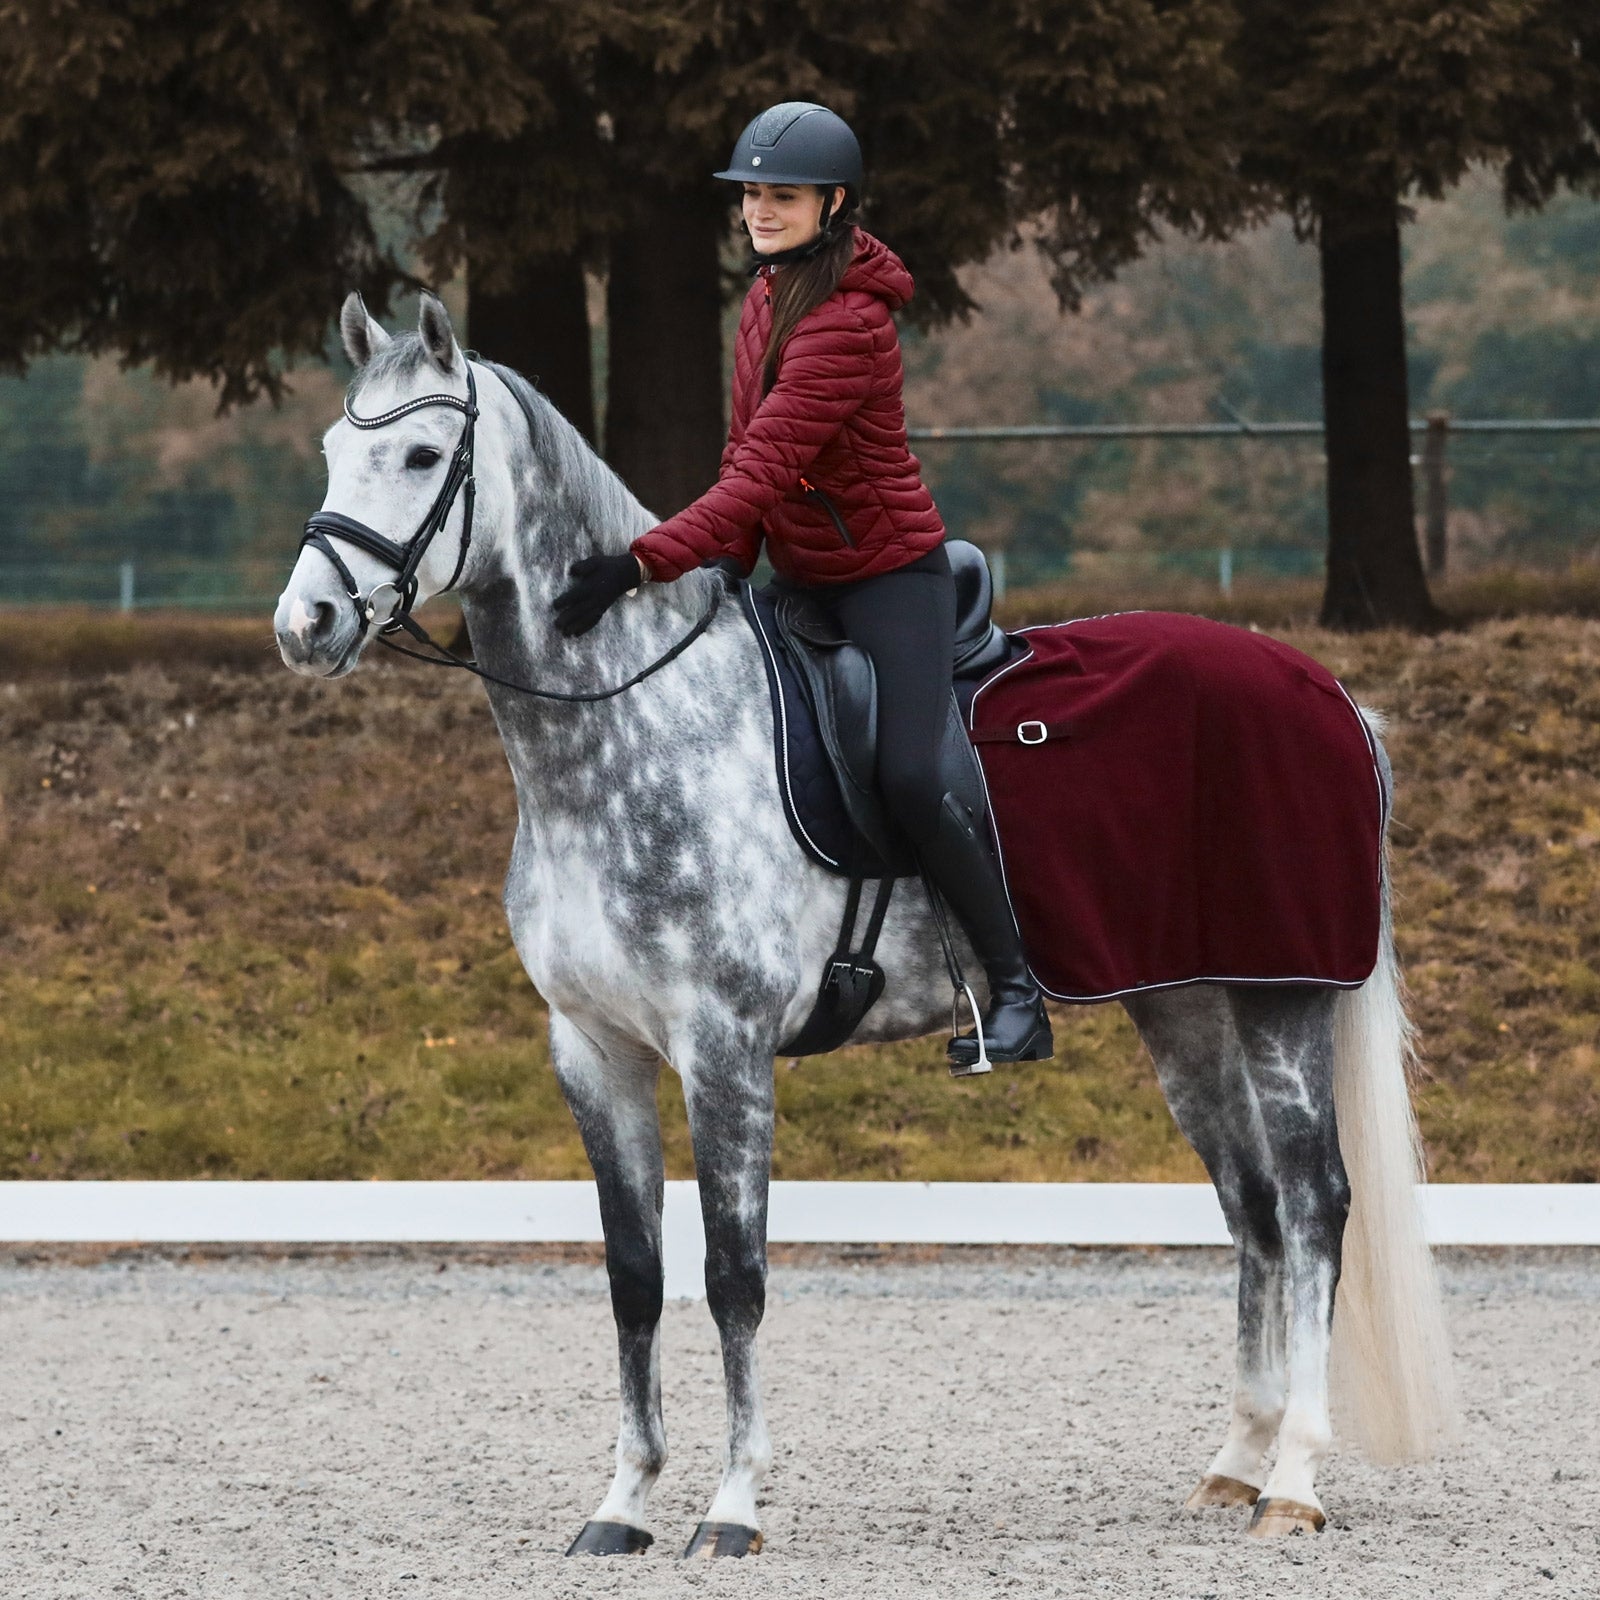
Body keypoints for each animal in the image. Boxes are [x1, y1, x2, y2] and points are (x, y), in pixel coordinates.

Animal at [274, 292, 1458, 1558]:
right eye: (332, 450)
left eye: (422, 456)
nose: (307, 621)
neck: (636, 724)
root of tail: (1327, 694)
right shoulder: (593, 1051)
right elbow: (635, 1276)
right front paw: (622, 1503)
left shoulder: (725, 1049)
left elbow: (733, 1273)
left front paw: (731, 1509)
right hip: (1180, 1005)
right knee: (1252, 1209)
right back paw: (1234, 1463)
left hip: (1282, 996)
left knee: (1313, 1207)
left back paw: (1293, 1481)